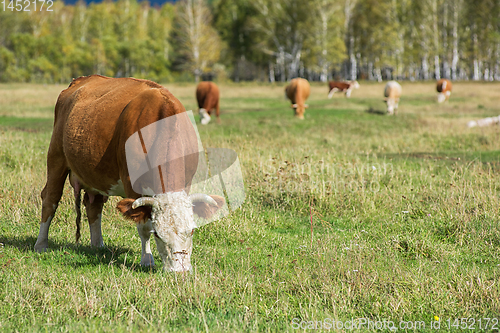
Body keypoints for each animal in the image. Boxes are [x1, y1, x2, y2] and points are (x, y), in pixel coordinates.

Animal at [36, 76, 227, 272]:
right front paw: (147, 259)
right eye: (158, 234)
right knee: (50, 199)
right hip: (56, 157)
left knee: (94, 206)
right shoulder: (132, 186)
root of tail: (80, 80)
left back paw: (98, 245)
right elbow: (143, 227)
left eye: (192, 230)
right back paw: (41, 244)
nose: (179, 270)